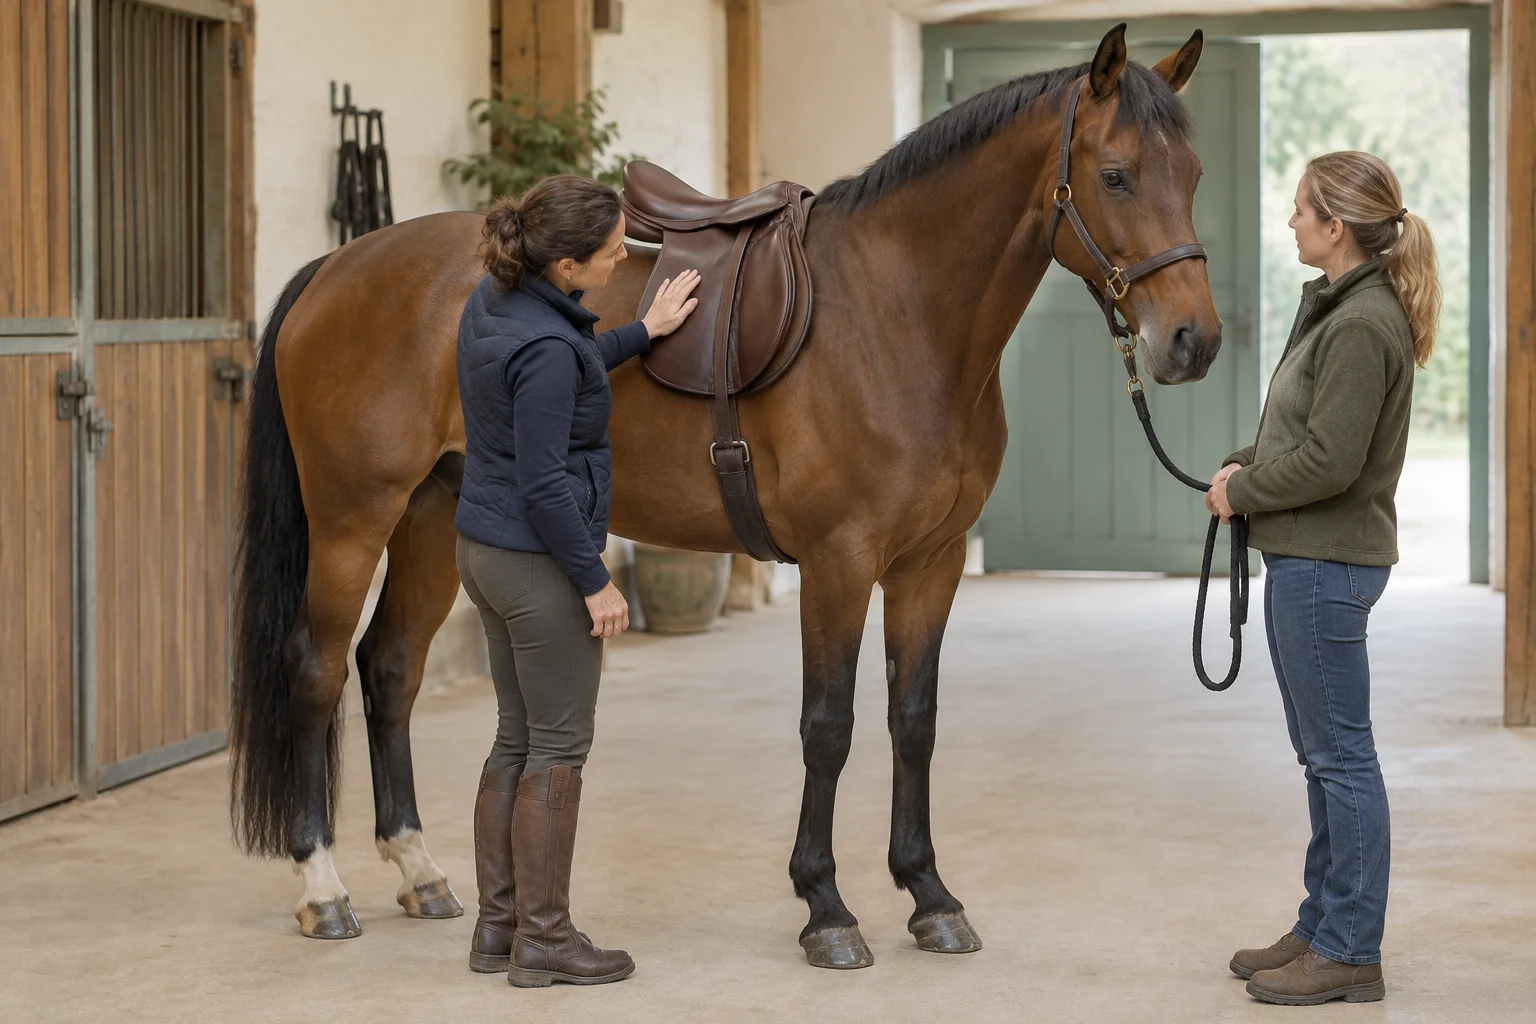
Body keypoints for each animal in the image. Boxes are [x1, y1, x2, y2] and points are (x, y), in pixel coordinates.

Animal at [229, 23, 1220, 968]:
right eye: (1116, 174)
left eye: (1195, 174)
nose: (1194, 342)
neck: (898, 314)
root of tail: (335, 267)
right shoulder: (837, 562)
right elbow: (830, 726)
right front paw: (826, 909)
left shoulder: (929, 565)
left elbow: (913, 721)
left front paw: (930, 897)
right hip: (353, 519)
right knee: (318, 671)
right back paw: (323, 887)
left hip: (435, 521)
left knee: (390, 668)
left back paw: (420, 870)